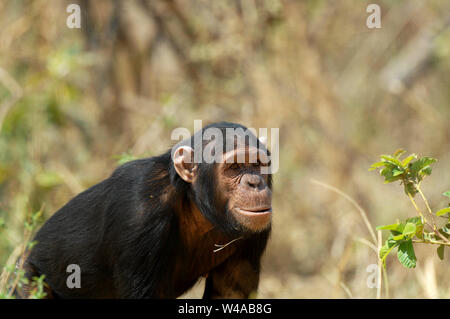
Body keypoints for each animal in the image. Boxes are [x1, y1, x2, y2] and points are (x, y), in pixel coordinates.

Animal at [19, 122, 272, 300]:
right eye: (235, 167)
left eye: (257, 164)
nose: (255, 183)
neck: (196, 206)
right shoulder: (138, 211)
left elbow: (230, 292)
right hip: (28, 278)